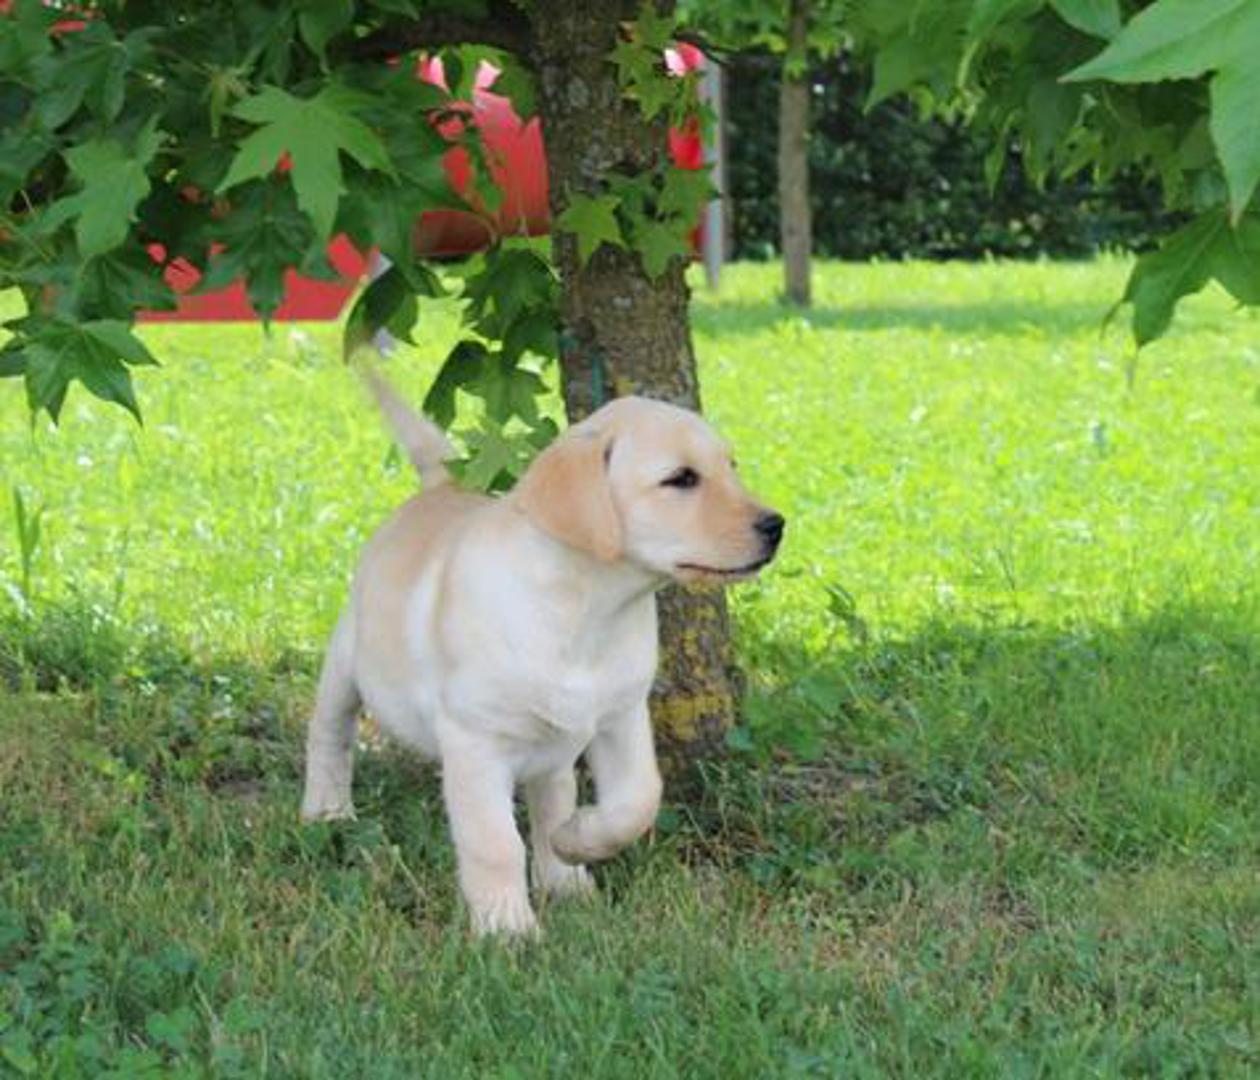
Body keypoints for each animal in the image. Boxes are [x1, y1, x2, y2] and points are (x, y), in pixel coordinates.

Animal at [301, 372, 784, 935]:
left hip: (553, 746)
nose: (776, 525)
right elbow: (494, 843)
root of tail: (443, 488)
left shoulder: (622, 714)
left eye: (731, 467)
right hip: (347, 660)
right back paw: (326, 810)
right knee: (329, 733)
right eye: (681, 479)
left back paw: (565, 879)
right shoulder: (476, 742)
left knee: (552, 796)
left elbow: (639, 797)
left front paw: (578, 840)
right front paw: (507, 928)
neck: (589, 609)